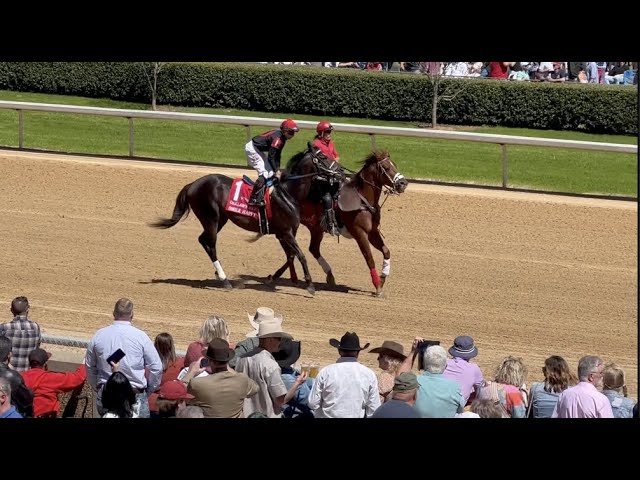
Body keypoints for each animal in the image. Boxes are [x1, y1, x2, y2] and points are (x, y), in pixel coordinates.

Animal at [148, 172, 318, 292]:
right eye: (322, 157)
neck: (286, 195)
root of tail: (192, 185)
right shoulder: (286, 232)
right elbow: (301, 255)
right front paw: (309, 284)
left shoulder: (283, 234)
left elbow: (291, 256)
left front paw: (275, 278)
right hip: (211, 218)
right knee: (210, 244)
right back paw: (224, 280)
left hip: (220, 220)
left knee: (203, 240)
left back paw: (220, 275)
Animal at [272, 148, 408, 296]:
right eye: (386, 167)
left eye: (395, 165)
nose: (403, 183)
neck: (362, 199)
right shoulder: (359, 233)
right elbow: (369, 259)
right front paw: (377, 286)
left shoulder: (372, 232)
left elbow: (386, 251)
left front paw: (383, 277)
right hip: (291, 227)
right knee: (290, 250)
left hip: (316, 228)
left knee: (310, 249)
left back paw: (325, 275)